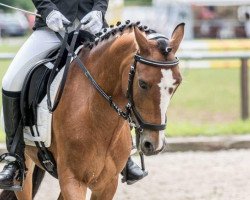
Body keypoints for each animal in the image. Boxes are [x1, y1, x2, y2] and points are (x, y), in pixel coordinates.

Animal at [0, 22, 184, 199]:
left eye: (177, 84)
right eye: (142, 83)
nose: (154, 144)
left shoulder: (108, 184)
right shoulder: (72, 181)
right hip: (25, 170)